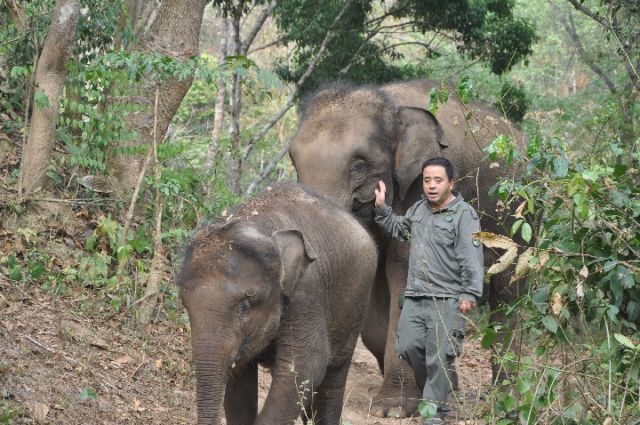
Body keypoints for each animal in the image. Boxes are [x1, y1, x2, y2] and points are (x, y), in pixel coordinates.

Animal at [178, 181, 378, 424]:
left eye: (246, 305)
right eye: (185, 307)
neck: (258, 225)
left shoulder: (307, 291)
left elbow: (306, 364)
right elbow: (241, 381)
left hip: (357, 303)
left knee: (332, 379)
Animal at [290, 79, 524, 418]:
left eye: (359, 165)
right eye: (294, 161)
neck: (389, 104)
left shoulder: (414, 191)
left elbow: (405, 272)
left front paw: (392, 410)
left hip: (519, 215)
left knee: (509, 293)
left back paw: (507, 401)